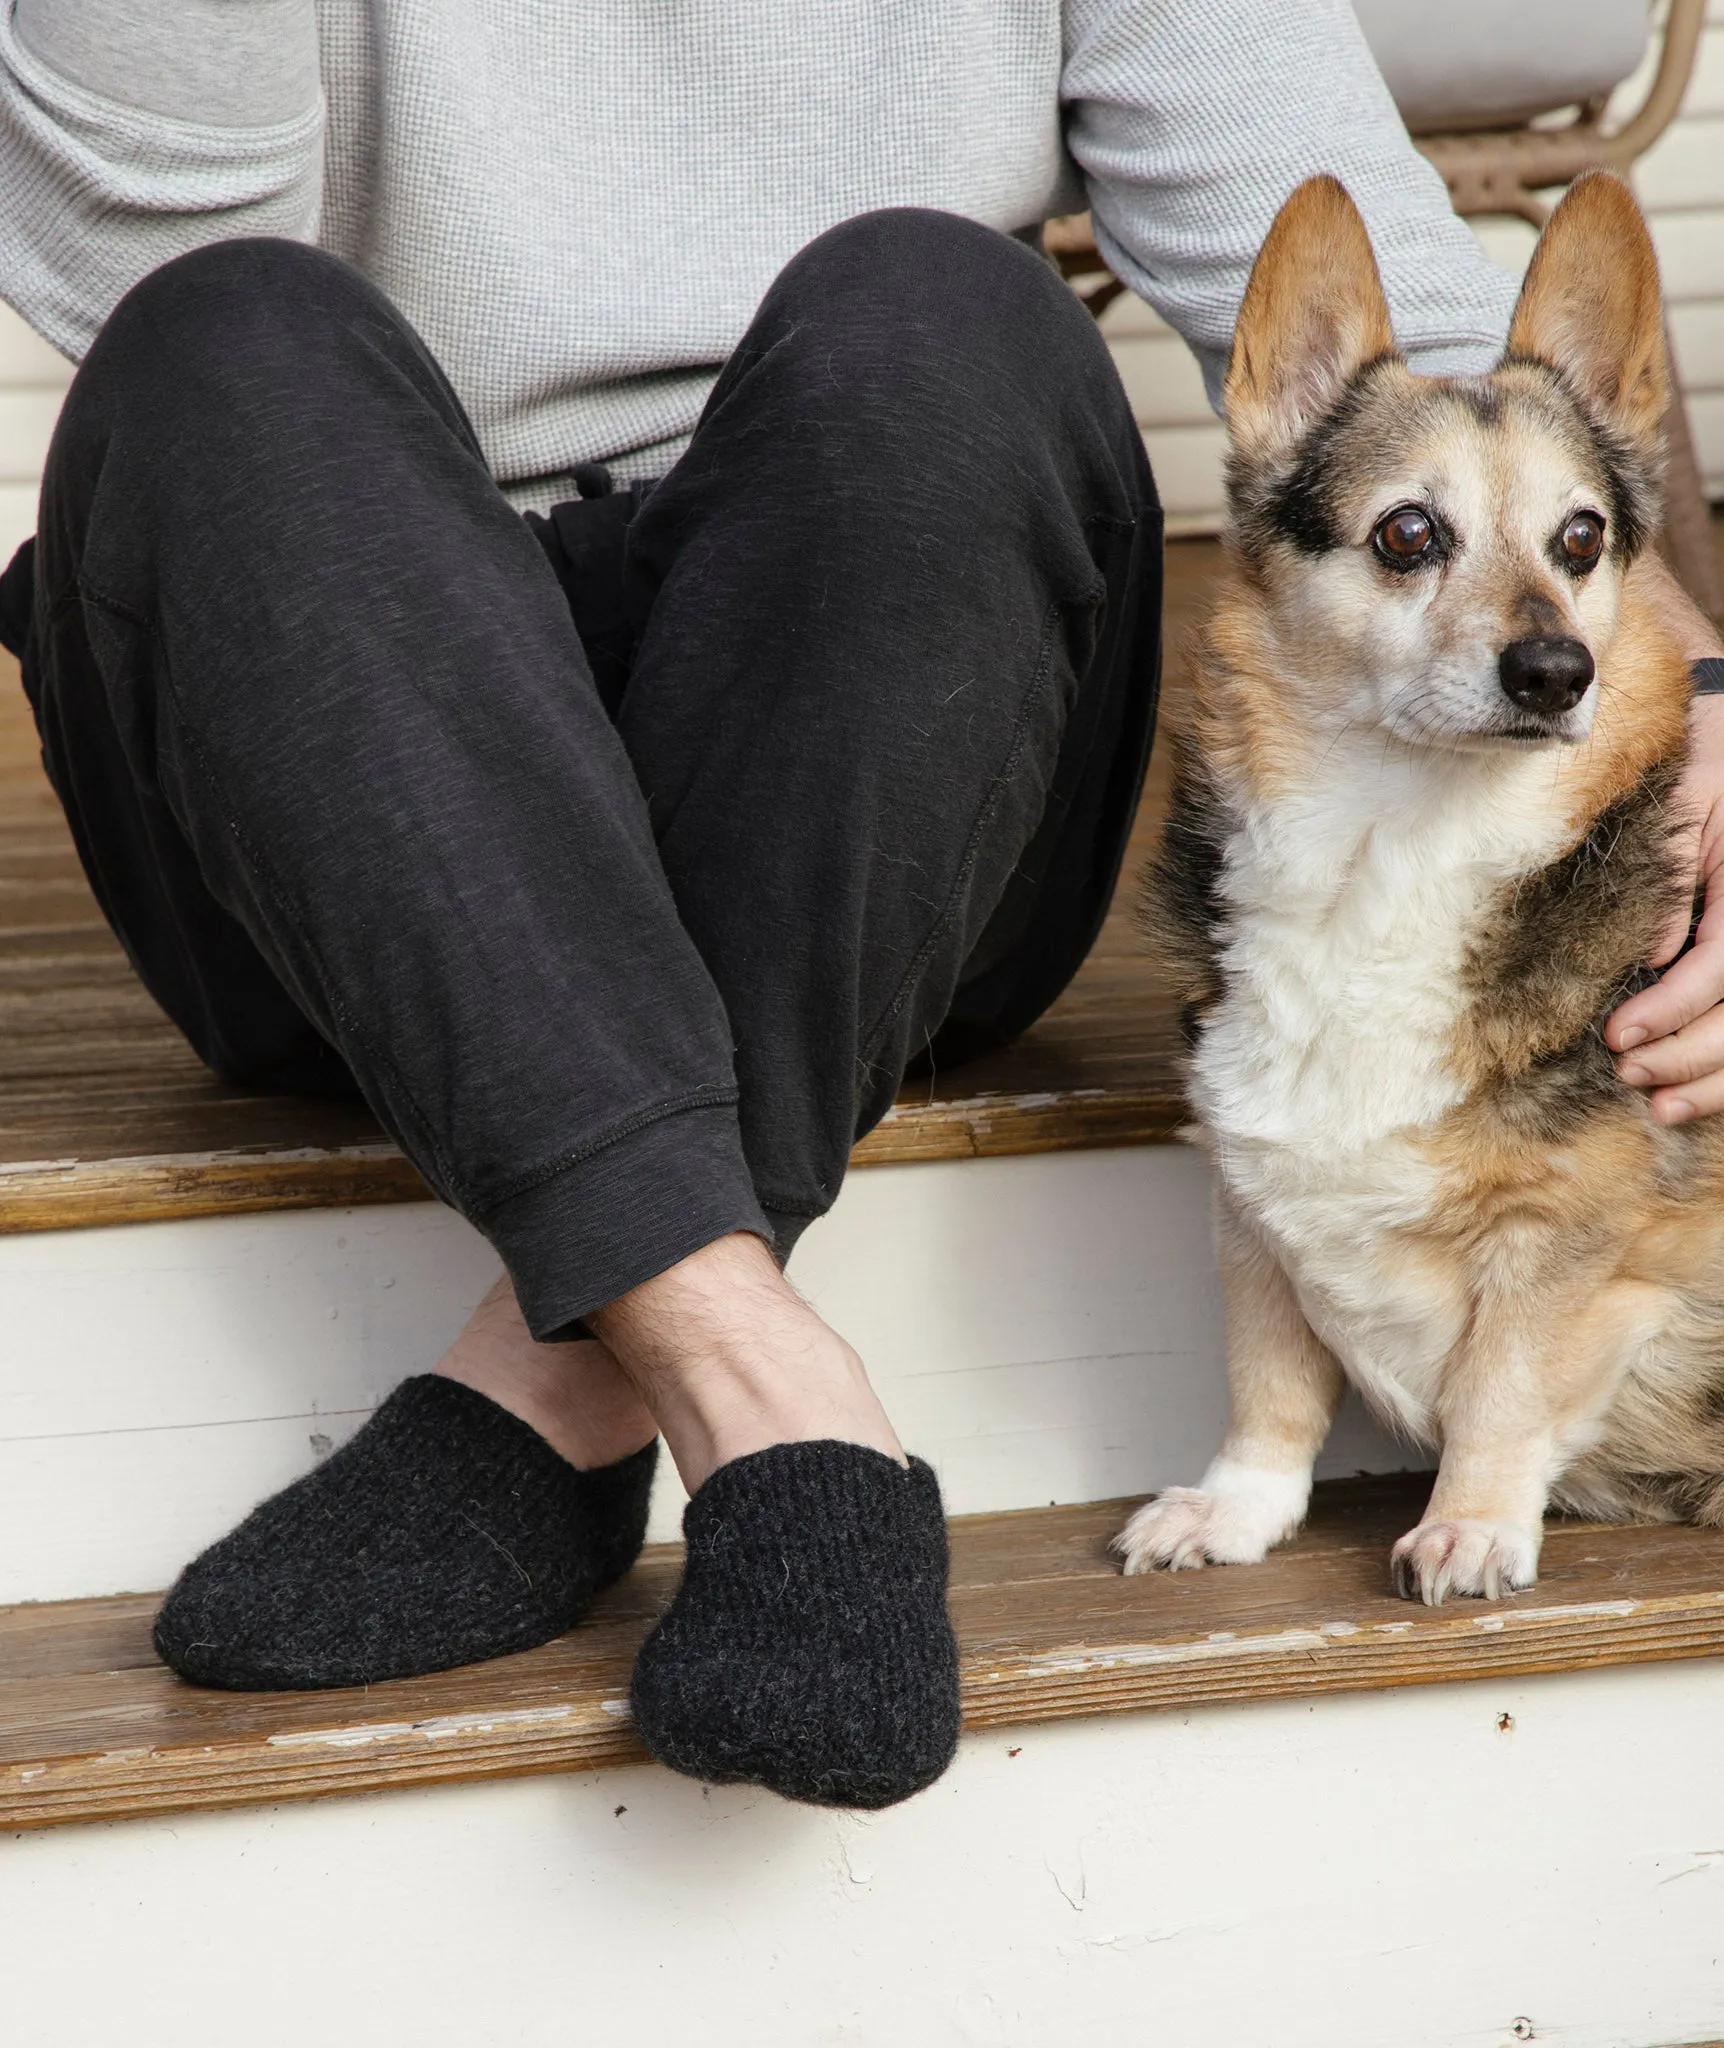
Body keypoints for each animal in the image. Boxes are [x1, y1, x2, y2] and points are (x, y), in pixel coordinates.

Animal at [1105, 167, 1711, 1605]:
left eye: (1581, 538)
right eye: (1408, 534)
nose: (1555, 673)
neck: (1392, 854)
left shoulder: (1571, 1240)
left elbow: (1500, 1382)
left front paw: (1471, 1527)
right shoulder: (1247, 1209)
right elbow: (1265, 1382)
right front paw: (1234, 1512)